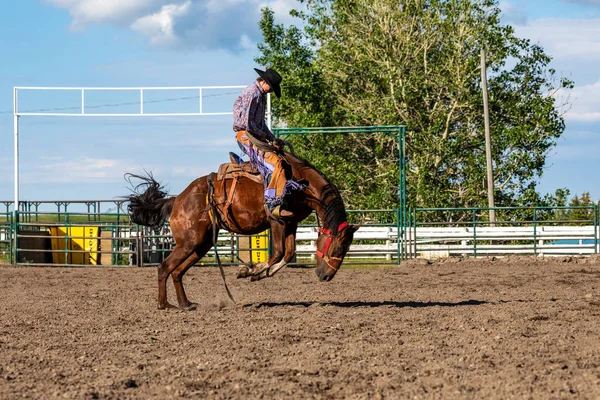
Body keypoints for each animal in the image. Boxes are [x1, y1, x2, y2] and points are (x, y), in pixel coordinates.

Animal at [126, 152, 358, 310]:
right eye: (338, 247)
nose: (326, 276)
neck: (301, 184)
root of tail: (177, 199)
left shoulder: (290, 223)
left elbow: (288, 253)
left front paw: (258, 273)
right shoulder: (276, 220)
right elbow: (277, 253)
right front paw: (249, 271)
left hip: (201, 244)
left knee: (177, 272)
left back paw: (186, 304)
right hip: (189, 242)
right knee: (164, 267)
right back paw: (164, 305)